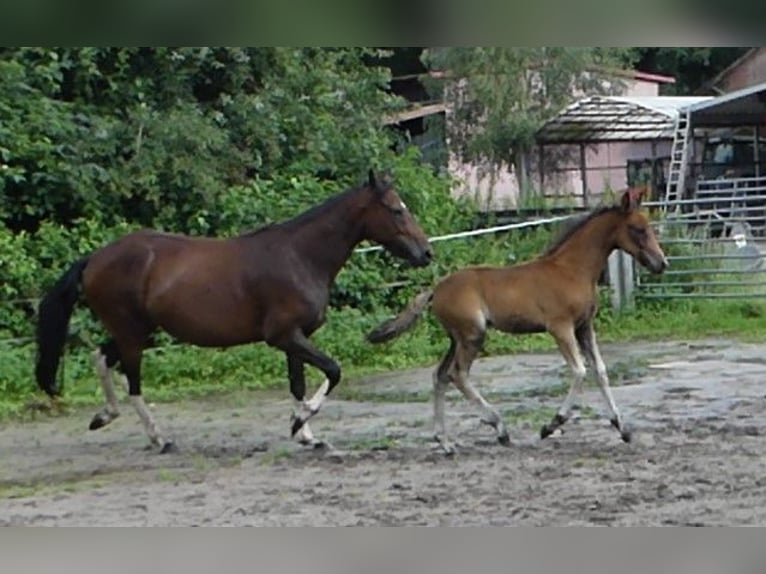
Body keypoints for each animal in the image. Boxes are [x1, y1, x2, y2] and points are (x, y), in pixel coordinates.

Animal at [37, 171, 432, 454]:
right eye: (396, 209)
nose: (426, 253)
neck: (300, 257)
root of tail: (94, 259)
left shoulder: (296, 338)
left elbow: (298, 384)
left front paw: (306, 435)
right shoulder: (284, 336)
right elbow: (333, 371)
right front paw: (298, 423)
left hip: (134, 331)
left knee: (102, 357)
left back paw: (104, 416)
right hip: (133, 334)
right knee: (132, 383)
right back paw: (159, 438)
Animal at [368, 187, 668, 456]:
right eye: (638, 229)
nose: (661, 263)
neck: (572, 270)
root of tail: (436, 289)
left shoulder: (584, 327)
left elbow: (601, 371)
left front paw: (622, 428)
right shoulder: (560, 328)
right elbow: (580, 371)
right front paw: (551, 425)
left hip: (457, 338)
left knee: (440, 375)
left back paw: (445, 442)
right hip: (472, 334)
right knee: (457, 374)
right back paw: (499, 428)